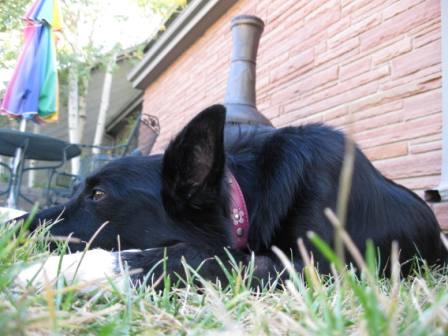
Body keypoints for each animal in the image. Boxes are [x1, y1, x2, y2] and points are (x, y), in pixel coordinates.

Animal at [17, 104, 444, 286]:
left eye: (98, 194)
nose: (15, 228)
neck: (245, 197)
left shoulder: (325, 269)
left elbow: (195, 256)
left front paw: (73, 269)